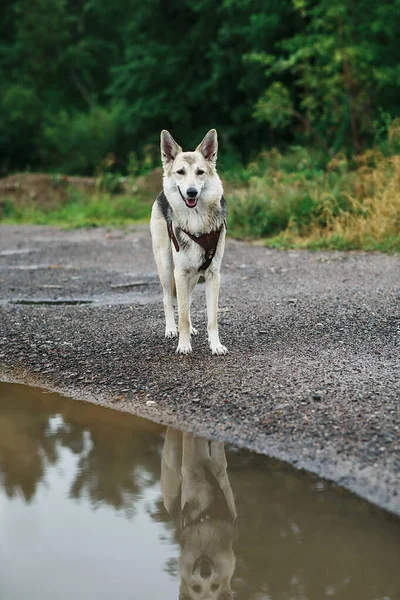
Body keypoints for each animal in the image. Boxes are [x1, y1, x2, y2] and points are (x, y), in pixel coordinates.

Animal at [150, 129, 228, 354]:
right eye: (180, 172)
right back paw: (171, 329)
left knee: (188, 301)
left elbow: (212, 318)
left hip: (192, 276)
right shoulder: (180, 272)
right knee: (168, 299)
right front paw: (183, 345)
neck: (197, 221)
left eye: (200, 172)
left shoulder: (213, 275)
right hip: (167, 267)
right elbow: (182, 315)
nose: (191, 192)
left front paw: (216, 345)